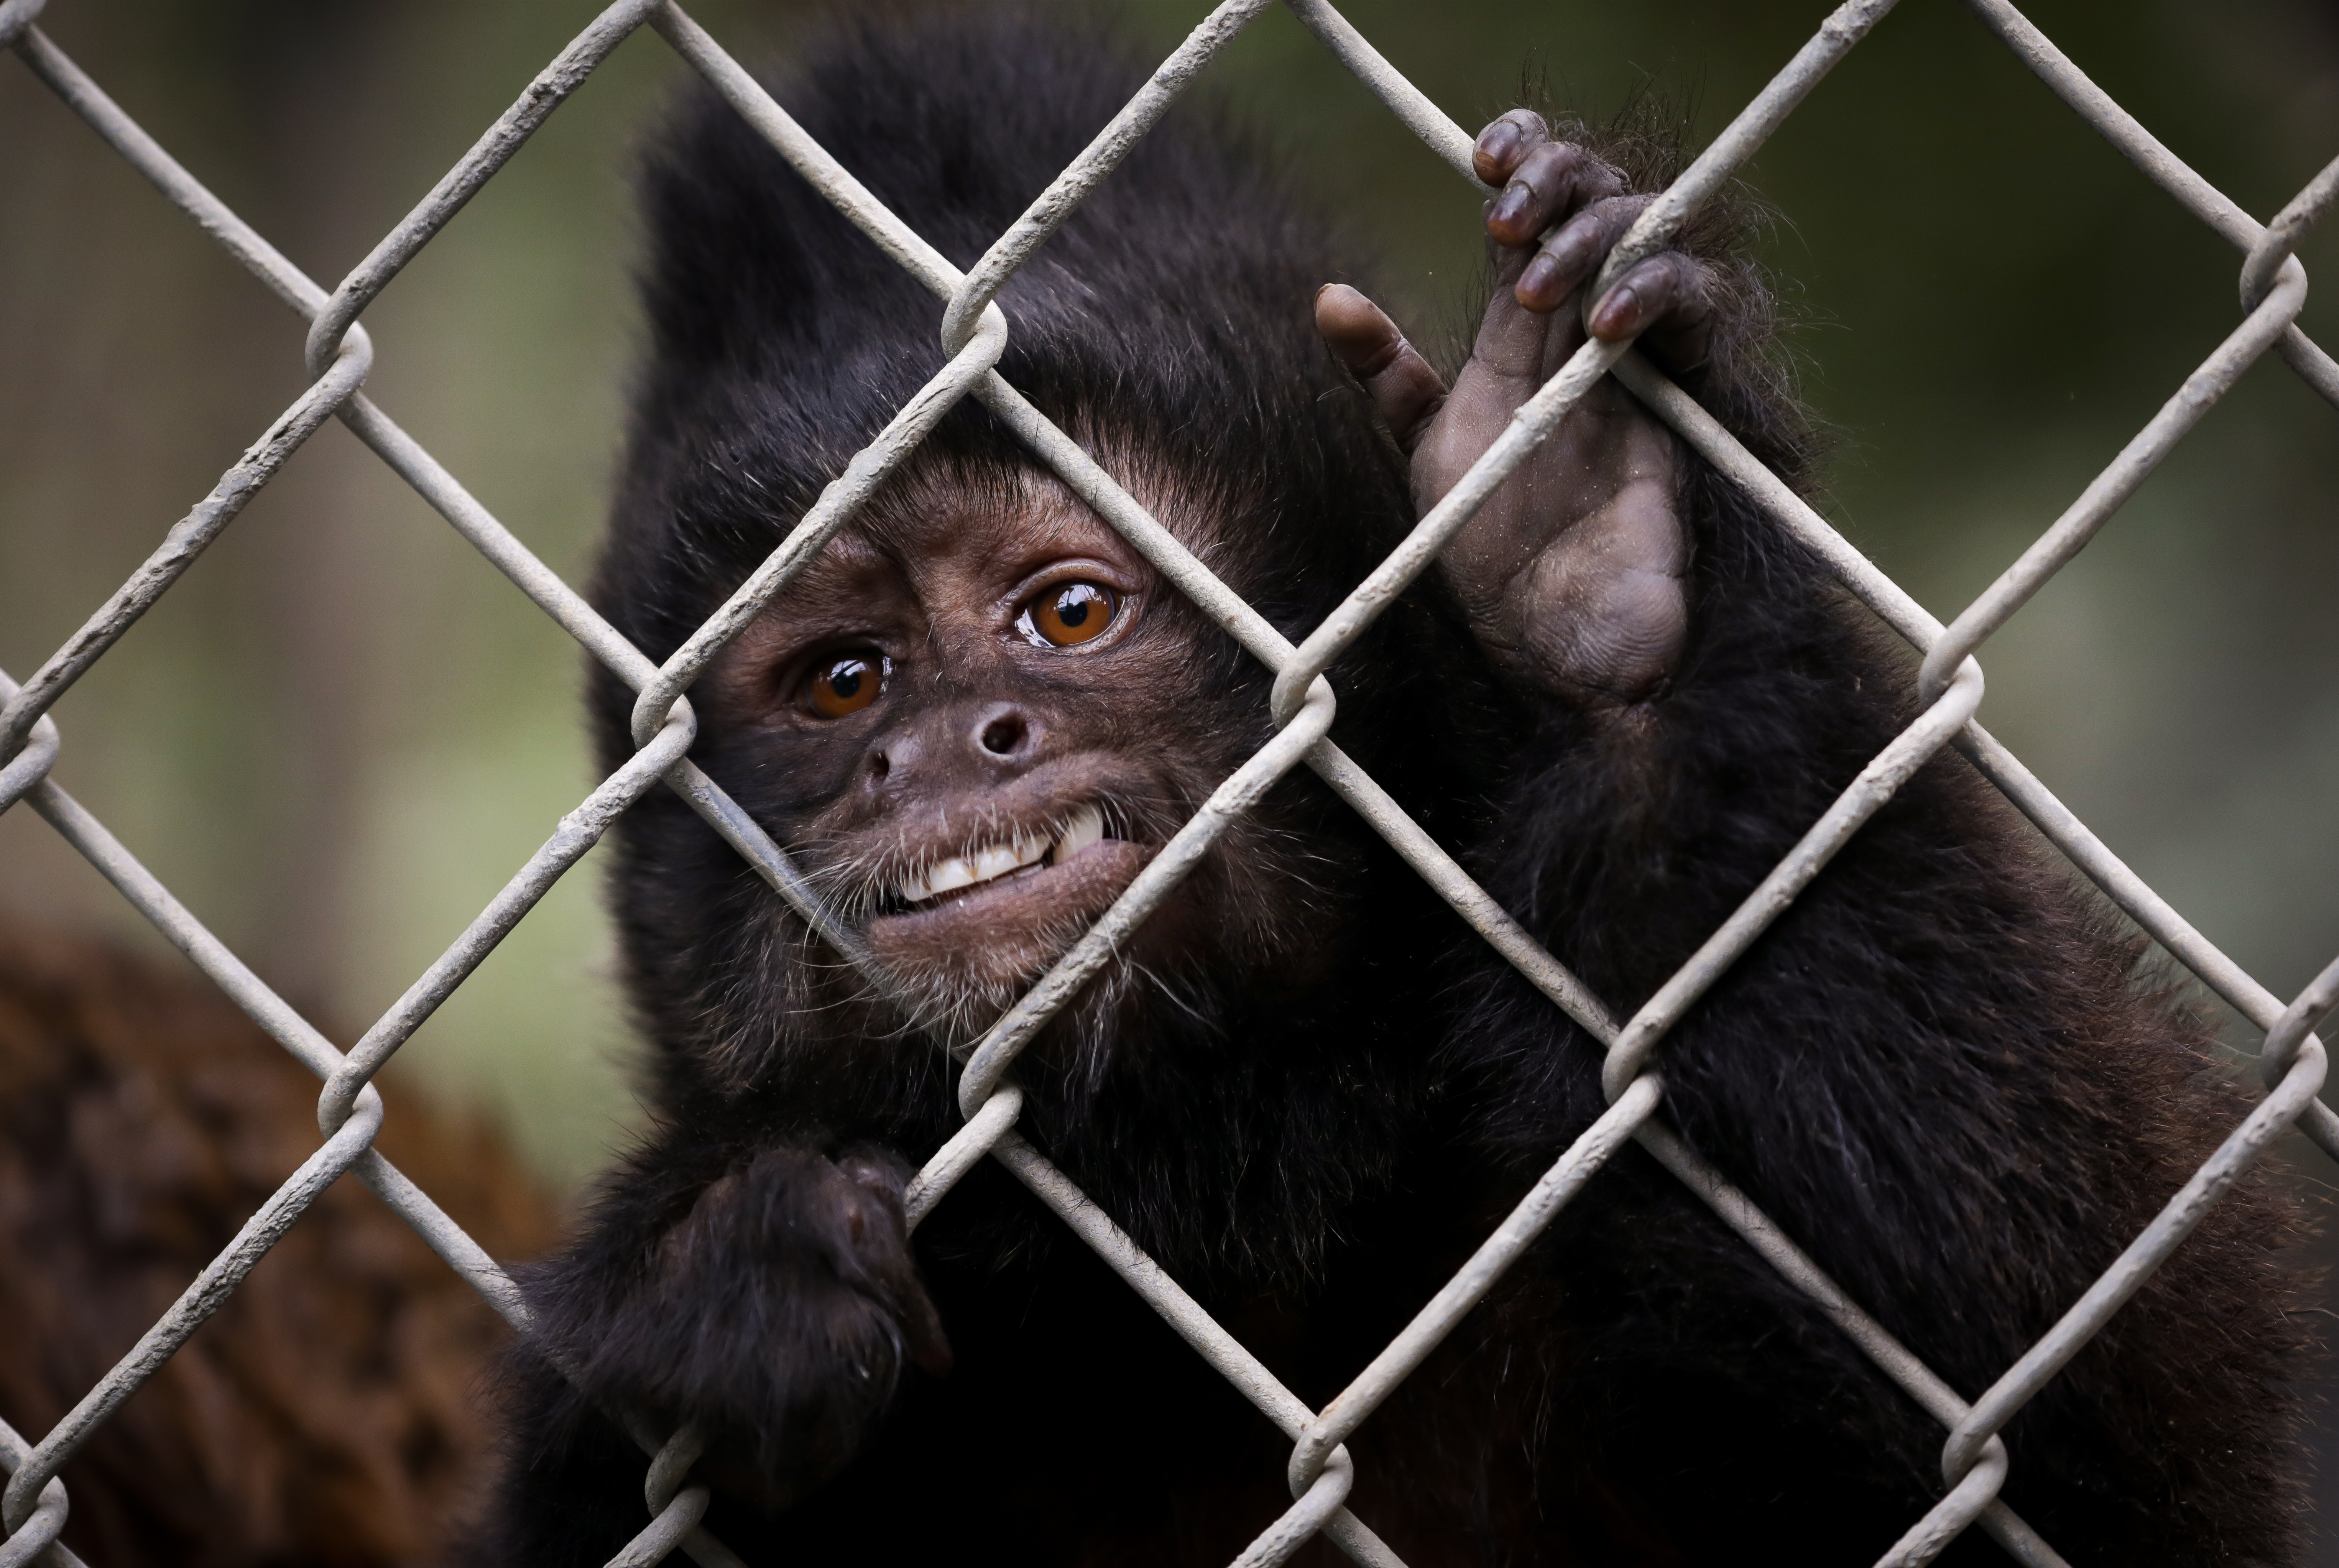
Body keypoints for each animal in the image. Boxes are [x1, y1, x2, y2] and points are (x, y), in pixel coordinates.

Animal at [484, 12, 2312, 1566]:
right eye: (842, 681)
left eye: (1065, 613)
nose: (936, 747)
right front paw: (717, 1251)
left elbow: (2079, 1465)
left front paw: (1595, 555)